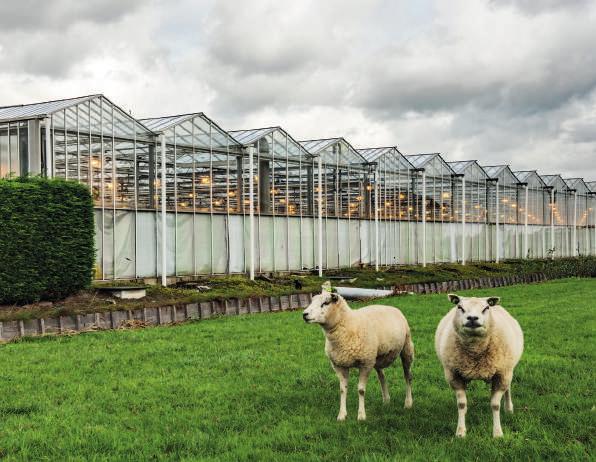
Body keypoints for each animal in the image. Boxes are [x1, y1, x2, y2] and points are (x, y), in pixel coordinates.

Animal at [302, 282, 414, 422]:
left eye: (325, 303)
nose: (304, 314)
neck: (348, 323)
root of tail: (391, 307)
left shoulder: (365, 363)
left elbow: (361, 390)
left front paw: (361, 415)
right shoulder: (339, 365)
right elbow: (342, 390)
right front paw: (342, 415)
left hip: (406, 348)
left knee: (407, 376)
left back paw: (408, 403)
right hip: (375, 357)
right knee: (382, 376)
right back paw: (386, 400)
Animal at [436, 294, 524, 438]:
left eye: (486, 308)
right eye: (460, 307)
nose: (472, 318)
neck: (475, 350)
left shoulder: (501, 374)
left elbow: (495, 405)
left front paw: (497, 433)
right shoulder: (454, 375)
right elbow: (461, 404)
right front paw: (460, 431)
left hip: (508, 369)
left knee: (508, 388)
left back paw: (509, 408)